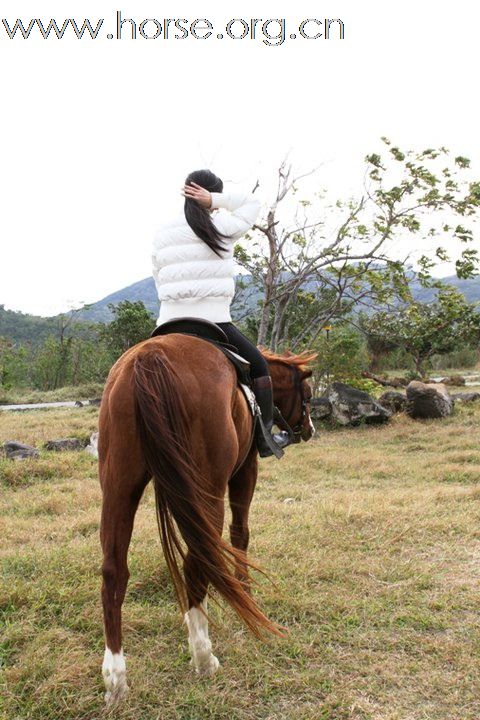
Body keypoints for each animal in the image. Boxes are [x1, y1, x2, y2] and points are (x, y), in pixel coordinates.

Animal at [99, 336, 316, 704]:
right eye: (309, 396)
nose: (310, 429)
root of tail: (149, 358)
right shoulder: (245, 470)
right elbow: (240, 533)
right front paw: (244, 586)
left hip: (119, 488)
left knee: (114, 571)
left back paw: (116, 678)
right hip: (207, 488)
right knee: (198, 557)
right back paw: (203, 655)